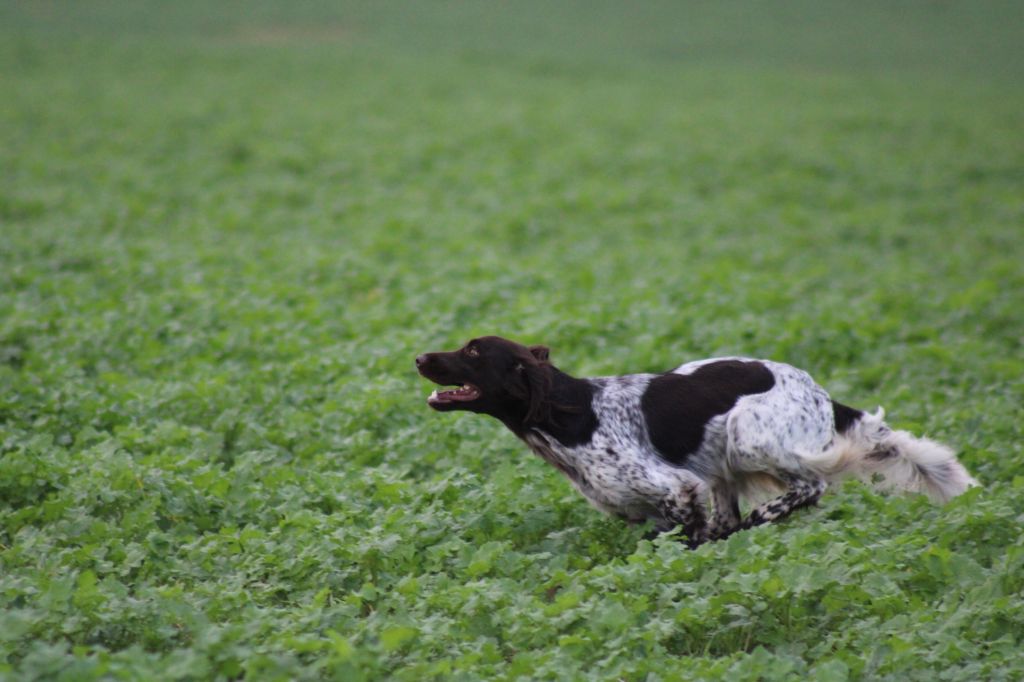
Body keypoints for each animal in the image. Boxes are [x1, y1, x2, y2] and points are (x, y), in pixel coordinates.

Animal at [413, 335, 974, 548]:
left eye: (473, 351)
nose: (419, 357)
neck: (572, 416)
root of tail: (823, 394)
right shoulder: (648, 508)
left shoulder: (677, 488)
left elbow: (688, 534)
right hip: (724, 461)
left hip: (745, 432)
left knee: (809, 487)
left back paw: (759, 521)